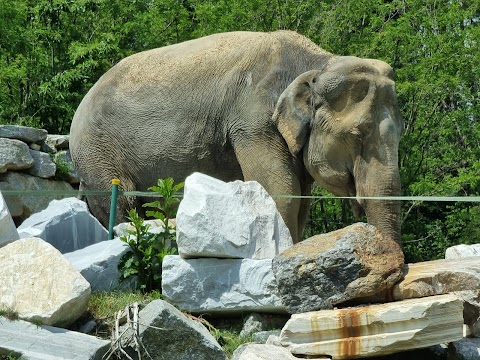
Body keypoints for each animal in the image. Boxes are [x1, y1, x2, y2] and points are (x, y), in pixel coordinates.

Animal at [69, 30, 404, 245]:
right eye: (357, 136)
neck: (317, 62)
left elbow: (300, 198)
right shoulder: (252, 120)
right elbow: (280, 188)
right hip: (97, 154)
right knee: (123, 202)